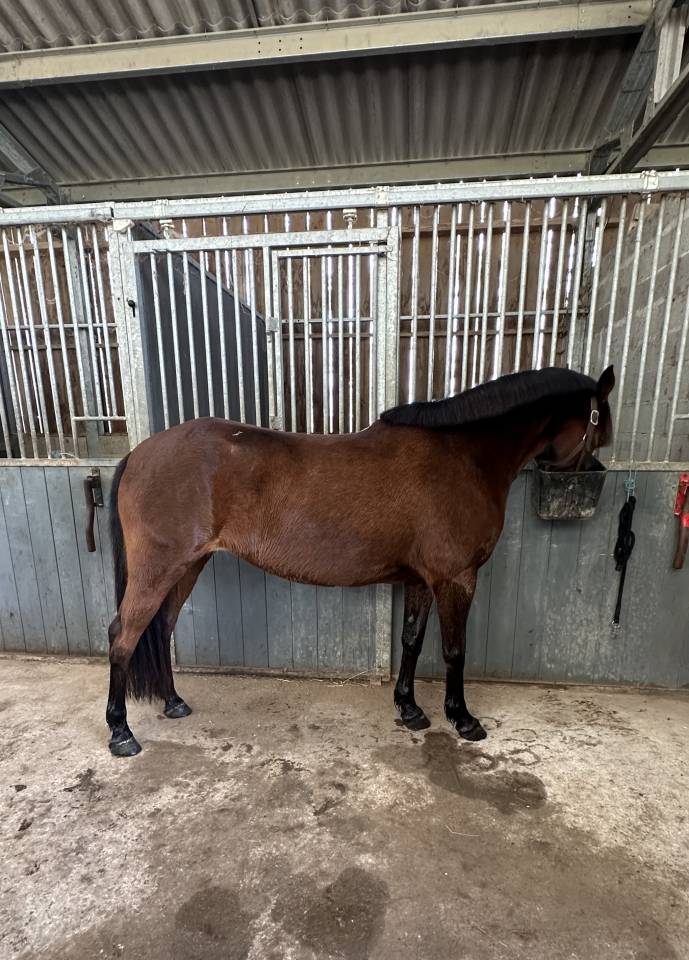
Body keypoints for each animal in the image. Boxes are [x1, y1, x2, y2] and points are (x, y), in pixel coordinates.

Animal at [106, 365, 615, 756]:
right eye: (600, 432)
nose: (590, 484)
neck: (463, 456)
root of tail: (138, 453)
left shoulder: (421, 579)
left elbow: (412, 640)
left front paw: (410, 709)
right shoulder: (456, 578)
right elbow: (455, 650)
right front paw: (463, 719)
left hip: (188, 567)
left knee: (161, 628)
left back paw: (173, 702)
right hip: (159, 568)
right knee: (123, 637)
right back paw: (121, 732)